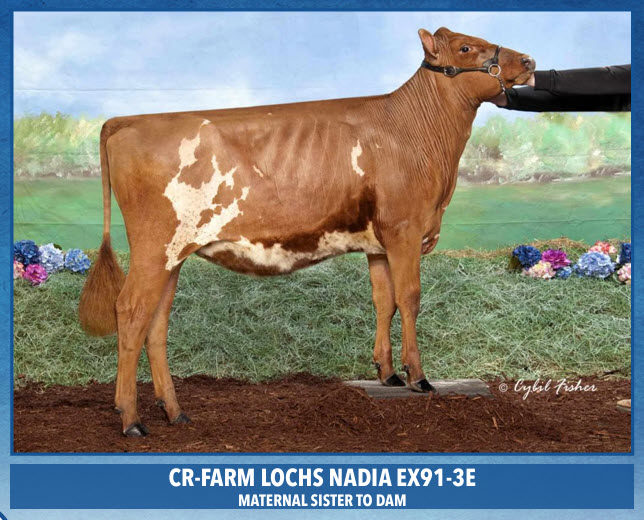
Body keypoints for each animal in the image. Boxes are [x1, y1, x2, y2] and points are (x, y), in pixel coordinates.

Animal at [79, 27, 535, 437]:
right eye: (467, 47)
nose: (529, 61)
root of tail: (126, 121)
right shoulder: (405, 229)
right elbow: (409, 298)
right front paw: (418, 377)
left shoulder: (379, 243)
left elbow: (383, 301)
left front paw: (386, 373)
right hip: (154, 246)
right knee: (131, 312)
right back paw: (131, 419)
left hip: (173, 254)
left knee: (156, 322)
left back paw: (174, 412)